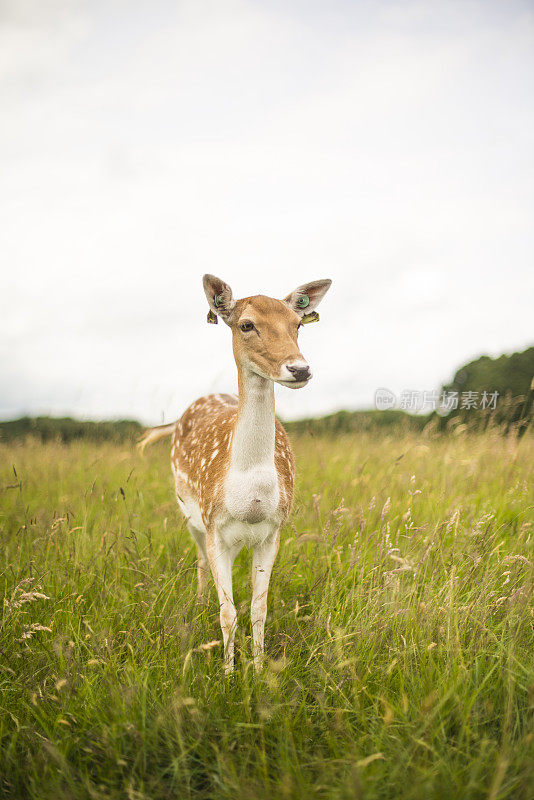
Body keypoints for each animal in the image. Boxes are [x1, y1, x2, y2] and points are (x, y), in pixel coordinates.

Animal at [139, 276, 330, 676]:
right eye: (246, 324)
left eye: (298, 325)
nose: (300, 369)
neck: (250, 495)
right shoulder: (214, 527)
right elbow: (227, 611)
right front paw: (227, 674)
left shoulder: (273, 531)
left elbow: (258, 609)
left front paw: (256, 670)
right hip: (189, 514)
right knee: (198, 562)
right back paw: (197, 605)